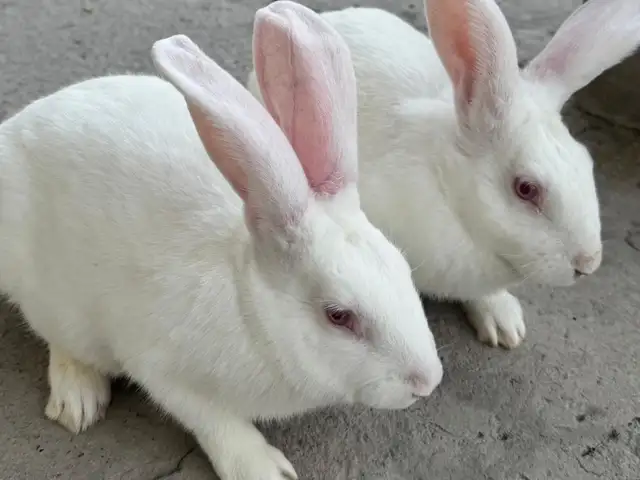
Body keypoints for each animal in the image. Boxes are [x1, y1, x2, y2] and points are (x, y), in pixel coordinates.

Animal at [0, 2, 443, 479]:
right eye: (339, 316)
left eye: (403, 267)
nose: (426, 382)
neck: (250, 312)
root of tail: (14, 130)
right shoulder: (163, 370)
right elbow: (217, 422)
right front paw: (264, 470)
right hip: (52, 297)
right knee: (60, 340)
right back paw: (77, 401)